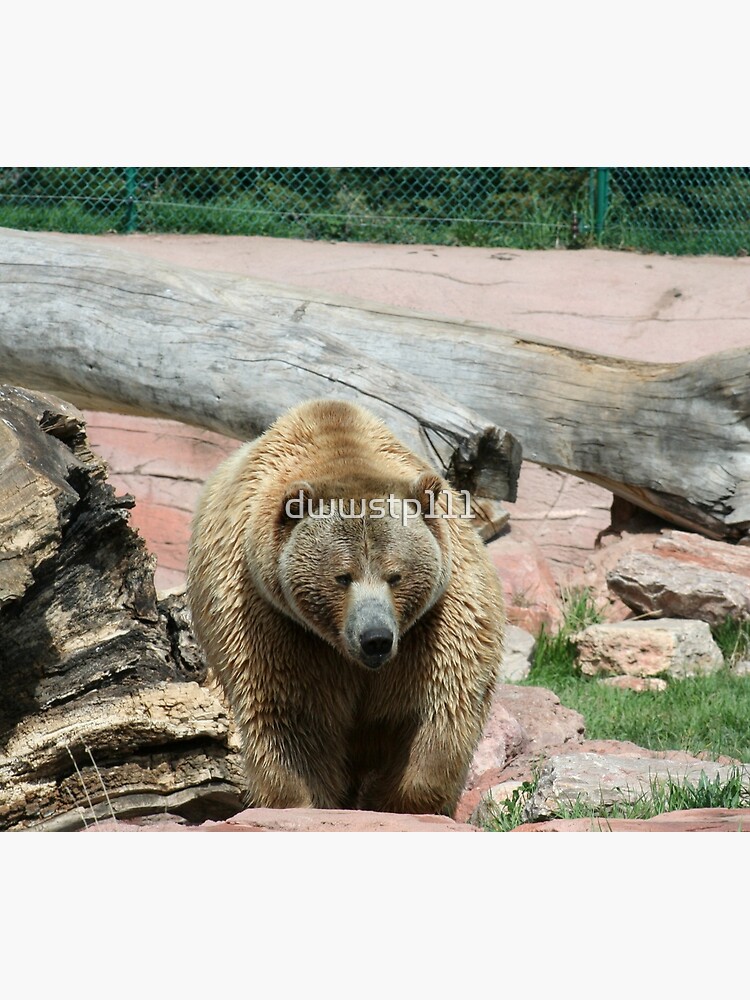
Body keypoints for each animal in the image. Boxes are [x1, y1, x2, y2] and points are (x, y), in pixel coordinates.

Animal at [187, 398, 505, 816]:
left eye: (395, 575)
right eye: (342, 576)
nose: (375, 638)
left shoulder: (437, 622)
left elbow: (438, 705)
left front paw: (404, 801)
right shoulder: (273, 620)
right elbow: (290, 717)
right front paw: (302, 799)